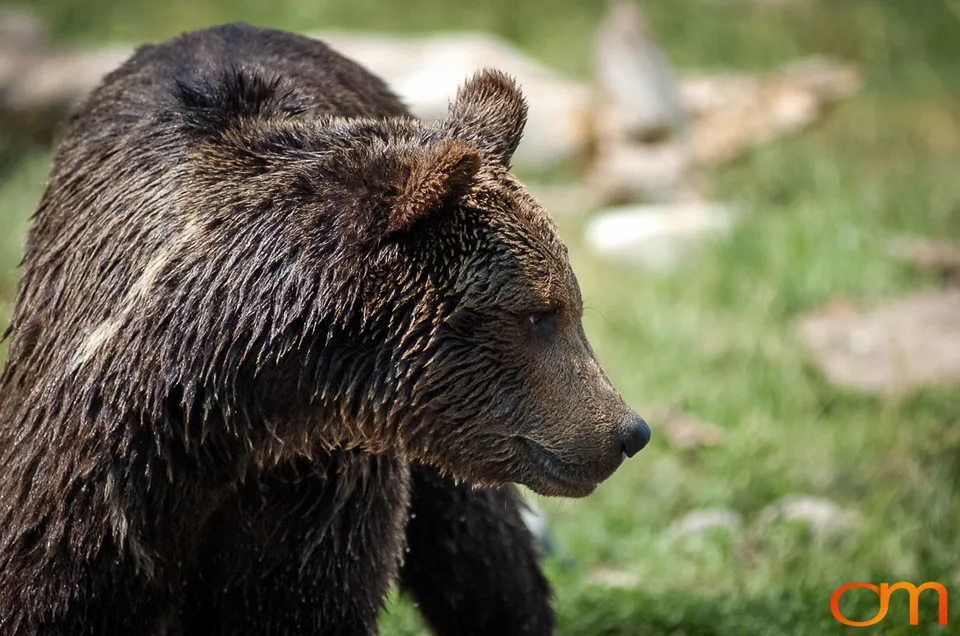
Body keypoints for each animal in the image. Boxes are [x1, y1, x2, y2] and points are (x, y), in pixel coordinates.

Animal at [0, 23, 651, 636]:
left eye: (570, 306)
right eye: (539, 315)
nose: (629, 431)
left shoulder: (316, 491)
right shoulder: (101, 495)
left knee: (484, 556)